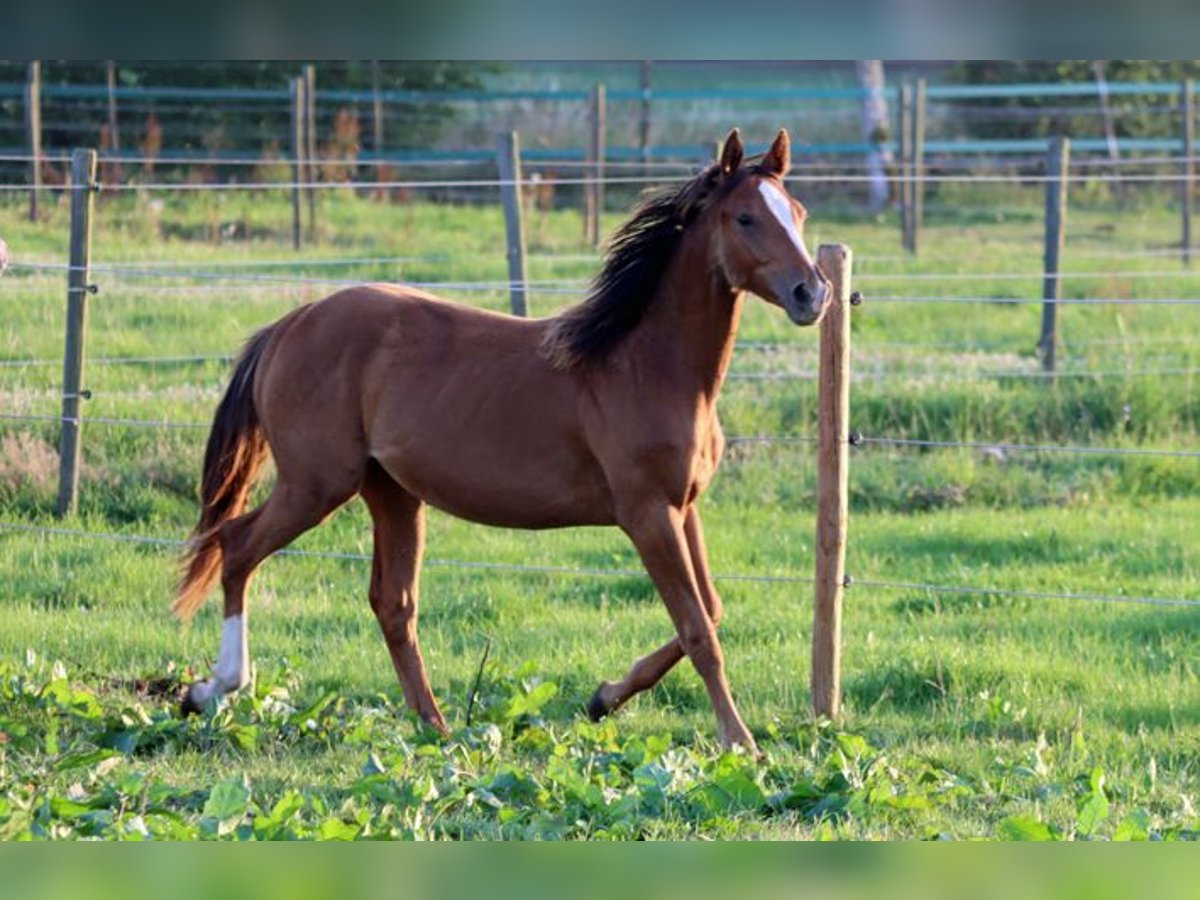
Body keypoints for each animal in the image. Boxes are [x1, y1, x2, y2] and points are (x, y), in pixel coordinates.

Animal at [174, 128, 829, 753]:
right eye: (744, 217)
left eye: (797, 211)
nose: (813, 293)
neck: (644, 366)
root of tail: (290, 324)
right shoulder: (648, 514)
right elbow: (698, 630)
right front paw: (740, 742)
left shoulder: (683, 507)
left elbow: (711, 611)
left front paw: (602, 698)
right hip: (316, 484)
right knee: (237, 547)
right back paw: (212, 689)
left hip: (391, 492)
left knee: (393, 605)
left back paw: (436, 729)